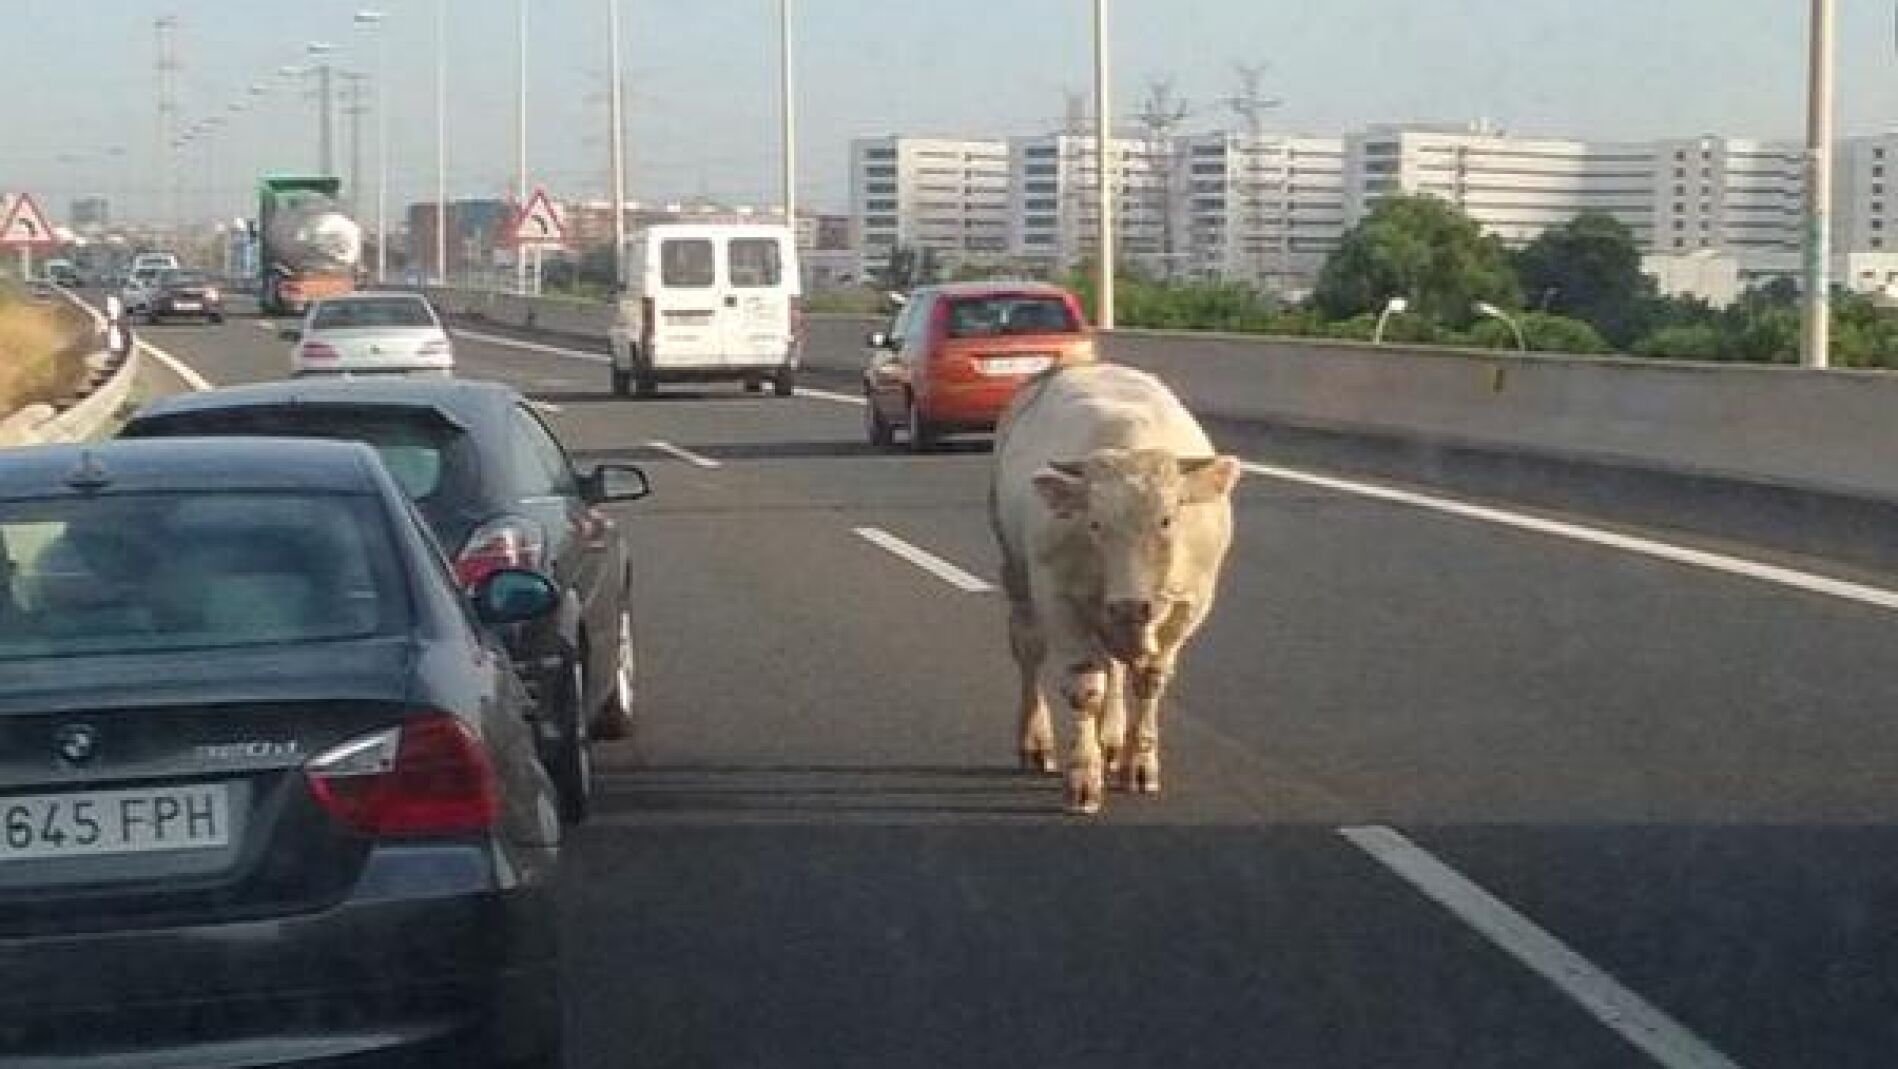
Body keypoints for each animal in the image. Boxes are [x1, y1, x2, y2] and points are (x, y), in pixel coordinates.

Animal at [990, 363, 1242, 815]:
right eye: (1094, 524)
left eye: (1167, 520)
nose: (1130, 606)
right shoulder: (1058, 599)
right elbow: (1086, 688)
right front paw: (1083, 778)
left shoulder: (1189, 606)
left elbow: (1149, 680)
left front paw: (1138, 764)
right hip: (1017, 577)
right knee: (1029, 652)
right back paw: (1035, 742)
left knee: (1117, 665)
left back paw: (1111, 741)